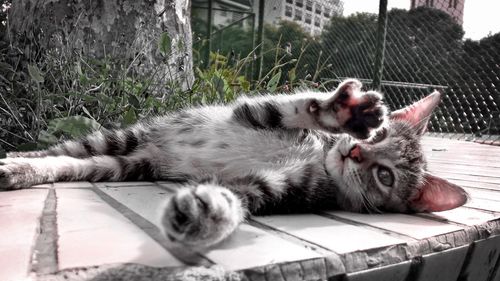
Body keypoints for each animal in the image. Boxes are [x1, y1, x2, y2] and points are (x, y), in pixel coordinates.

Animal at [0, 79, 468, 247]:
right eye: (383, 134)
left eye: (384, 175)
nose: (354, 152)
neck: (320, 158)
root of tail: (150, 151)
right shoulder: (257, 111)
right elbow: (299, 108)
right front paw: (343, 112)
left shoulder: (288, 188)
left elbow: (247, 195)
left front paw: (209, 211)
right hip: (121, 137)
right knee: (62, 149)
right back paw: (19, 159)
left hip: (123, 167)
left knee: (75, 164)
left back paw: (20, 172)